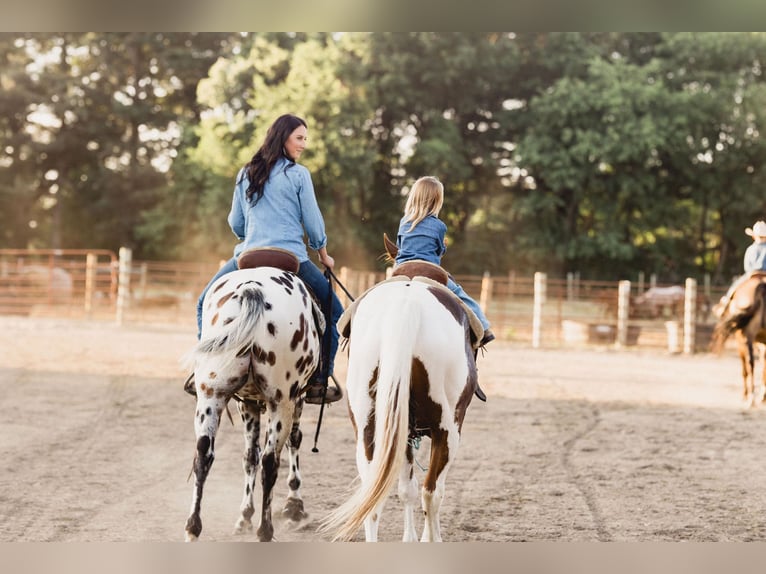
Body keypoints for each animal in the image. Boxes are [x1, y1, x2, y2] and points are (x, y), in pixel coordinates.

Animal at [188, 250, 322, 544]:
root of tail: (252, 289)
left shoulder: (247, 403)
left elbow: (249, 456)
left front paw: (244, 517)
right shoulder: (295, 399)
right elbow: (293, 442)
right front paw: (294, 506)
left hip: (211, 396)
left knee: (203, 454)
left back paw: (192, 528)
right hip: (281, 402)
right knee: (271, 461)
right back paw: (265, 530)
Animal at [320, 236, 484, 544]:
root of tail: (406, 306)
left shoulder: (403, 431)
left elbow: (405, 488)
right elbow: (426, 490)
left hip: (370, 427)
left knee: (373, 496)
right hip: (447, 429)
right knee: (432, 491)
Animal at [712, 274, 766, 410]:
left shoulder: (740, 341)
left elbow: (744, 369)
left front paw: (745, 395)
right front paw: (762, 396)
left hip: (746, 336)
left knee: (750, 363)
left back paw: (751, 398)